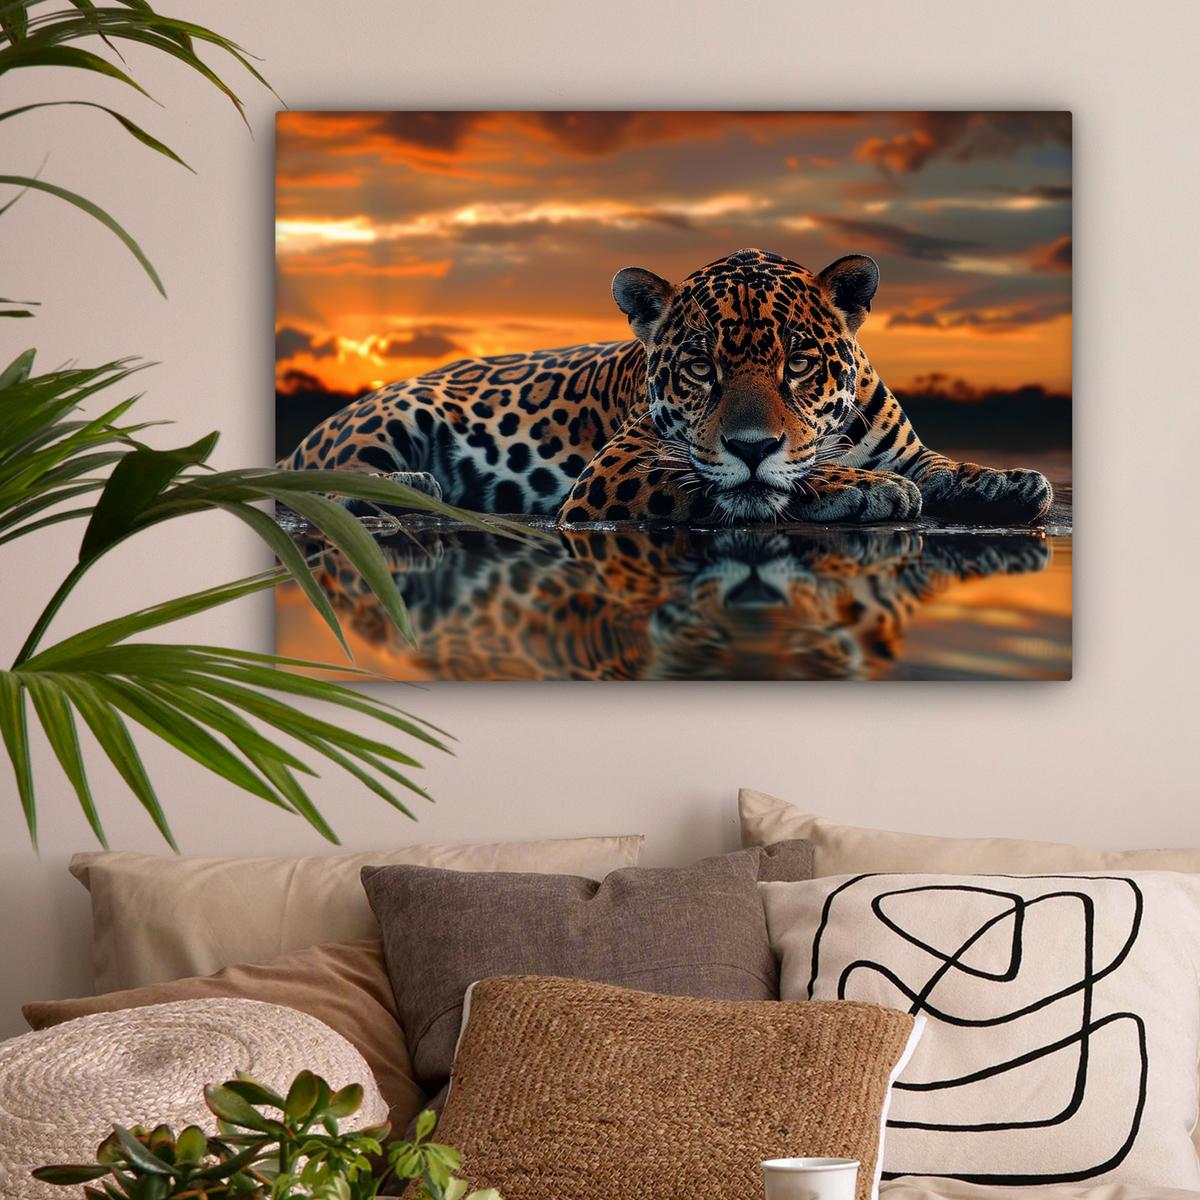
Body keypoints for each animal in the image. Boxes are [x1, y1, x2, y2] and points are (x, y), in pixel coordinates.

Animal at [280, 248, 1054, 527]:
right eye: (700, 367)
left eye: (799, 364)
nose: (751, 444)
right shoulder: (618, 468)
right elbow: (761, 481)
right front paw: (863, 489)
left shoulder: (907, 449)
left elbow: (946, 466)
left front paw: (1009, 481)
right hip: (391, 415)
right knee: (321, 484)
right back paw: (411, 484)